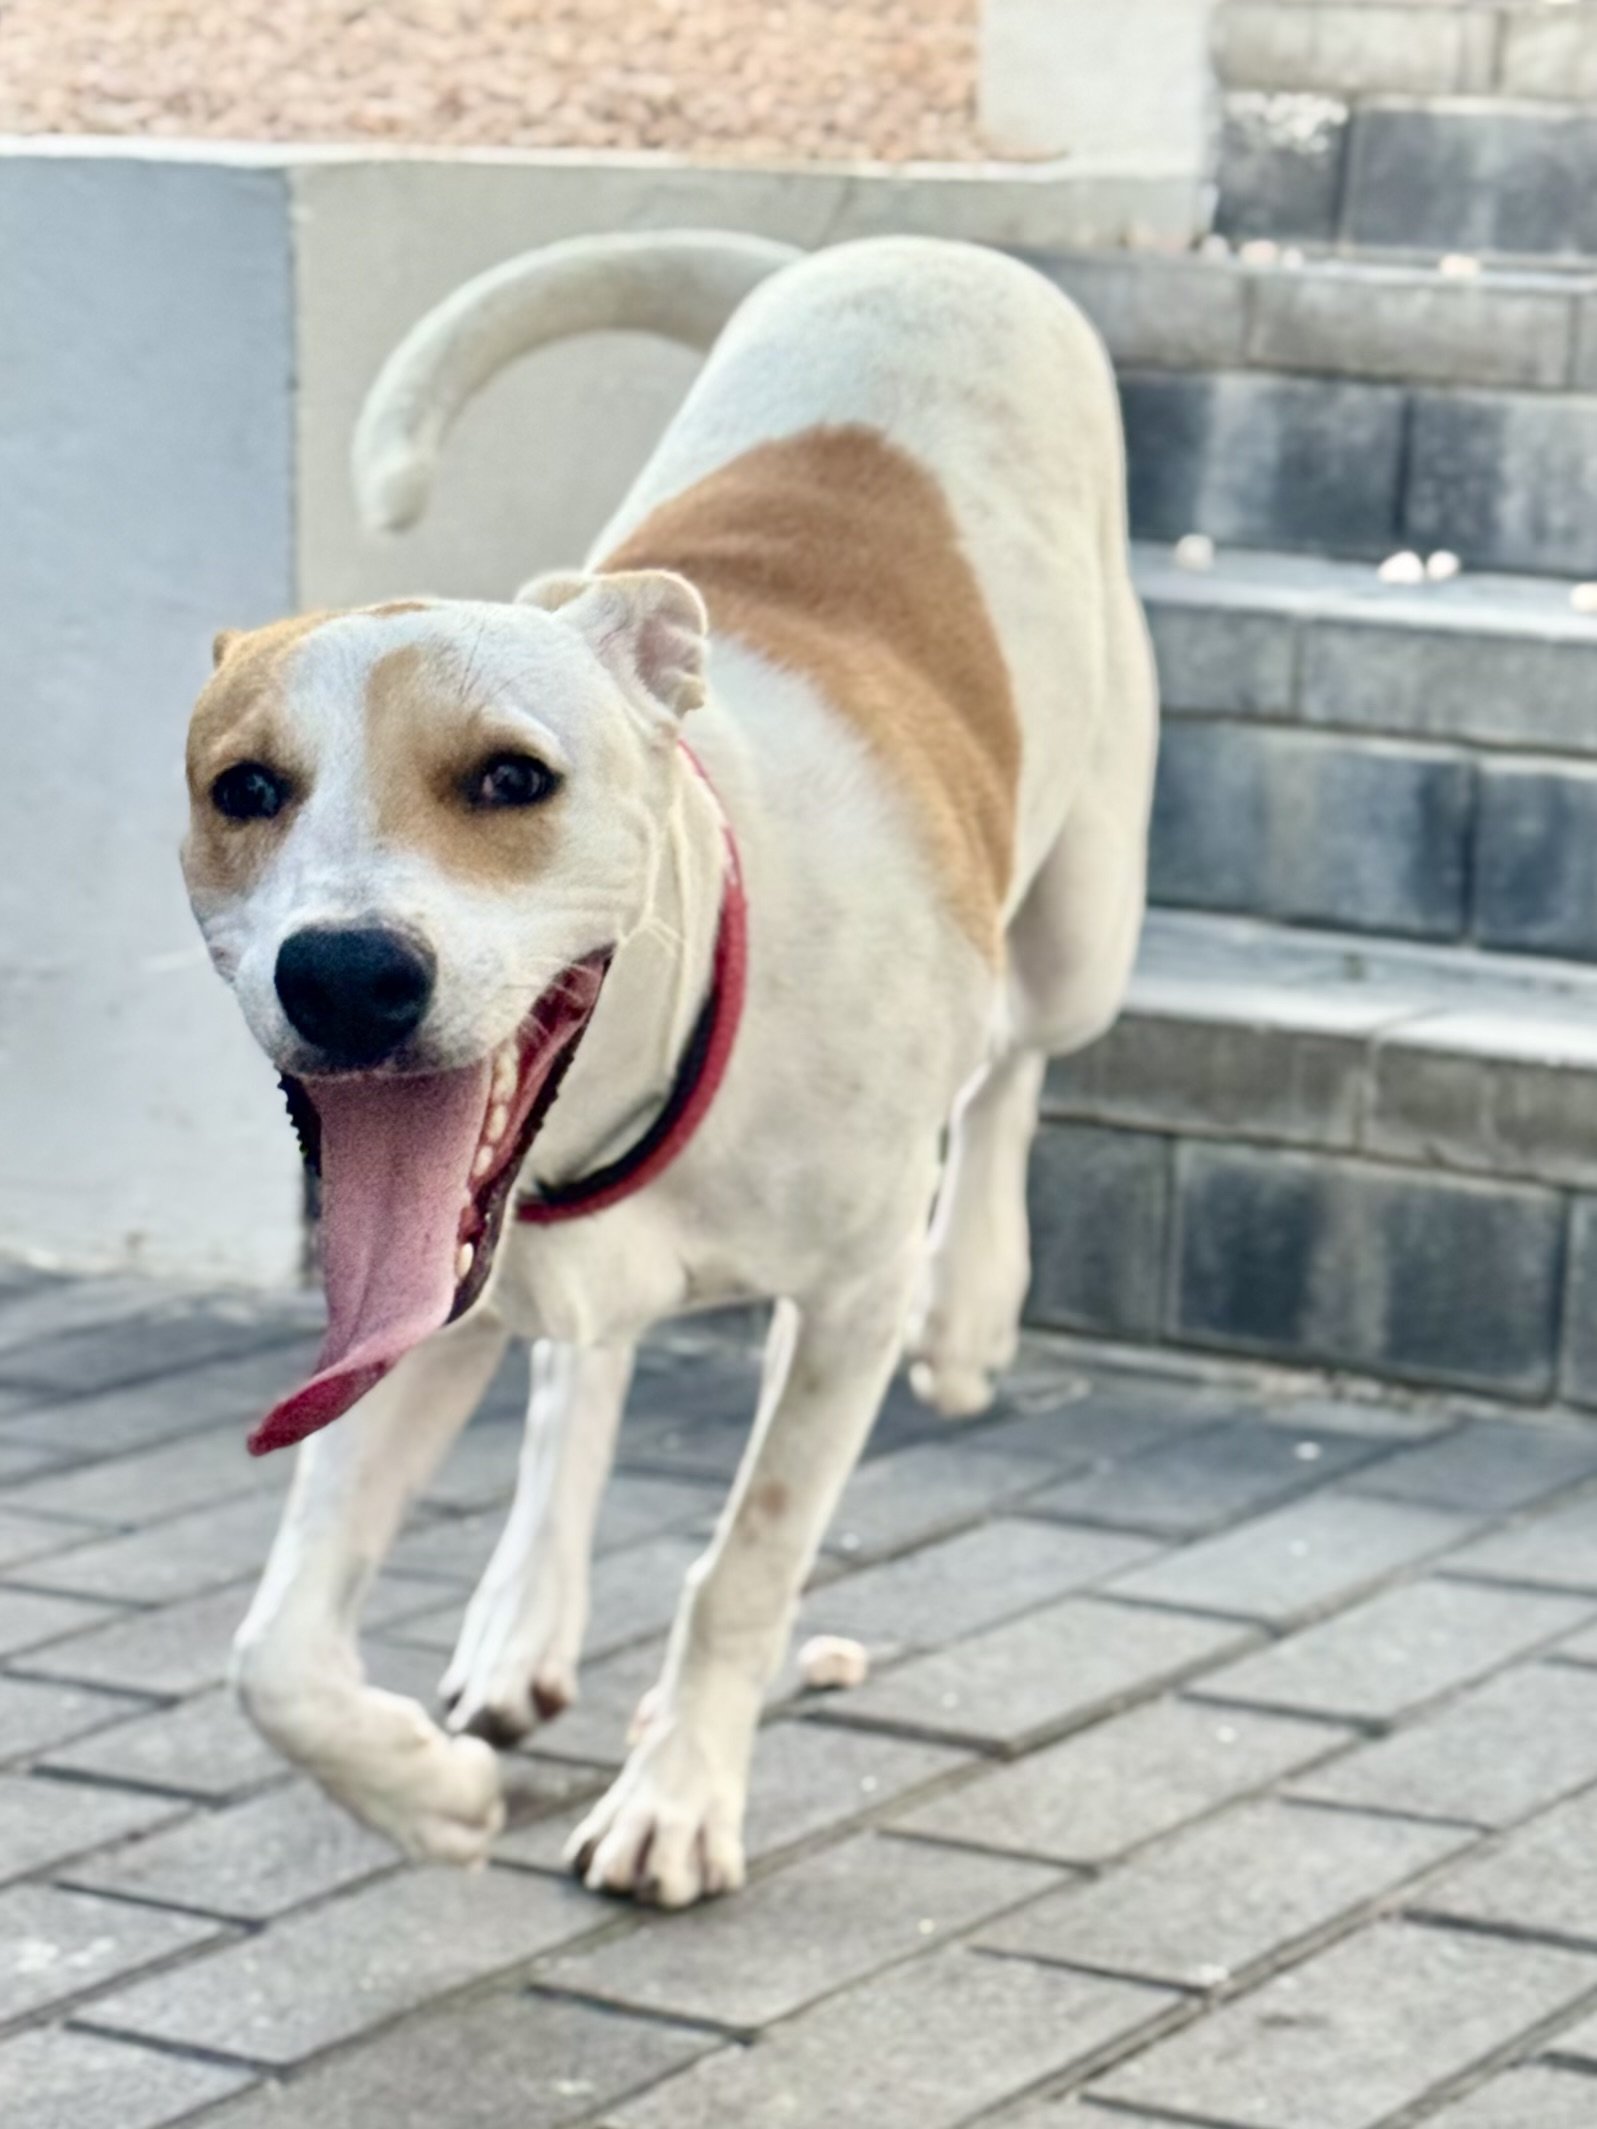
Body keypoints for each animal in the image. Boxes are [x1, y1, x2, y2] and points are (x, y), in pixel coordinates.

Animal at [181, 230, 1157, 1906]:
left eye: (513, 777)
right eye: (244, 789)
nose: (347, 973)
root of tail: (887, 248)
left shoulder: (847, 1301)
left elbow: (747, 1562)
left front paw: (680, 1796)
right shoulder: (421, 1311)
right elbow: (276, 1655)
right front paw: (428, 1796)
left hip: (1083, 916)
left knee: (1016, 1060)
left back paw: (973, 1302)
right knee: (582, 1373)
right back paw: (523, 1615)